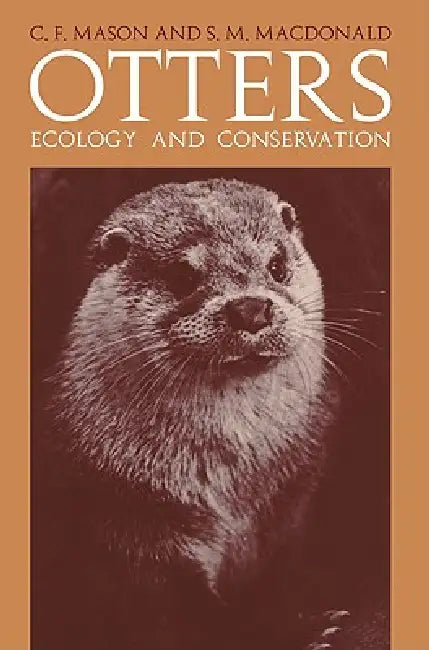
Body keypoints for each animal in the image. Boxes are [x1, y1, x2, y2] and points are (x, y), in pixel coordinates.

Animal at [36, 178, 342, 650]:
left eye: (276, 265)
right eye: (183, 276)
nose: (251, 307)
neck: (233, 485)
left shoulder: (292, 497)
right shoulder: (125, 518)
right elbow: (182, 612)